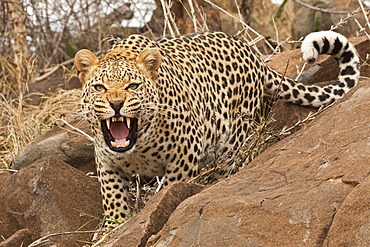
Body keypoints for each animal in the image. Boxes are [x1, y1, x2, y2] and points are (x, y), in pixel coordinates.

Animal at [73, 29, 360, 229]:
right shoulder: (107, 161)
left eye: (133, 86)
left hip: (233, 137)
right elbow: (113, 199)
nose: (116, 104)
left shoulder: (185, 153)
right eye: (99, 87)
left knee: (227, 166)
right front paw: (112, 228)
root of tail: (251, 52)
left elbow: (171, 189)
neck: (138, 145)